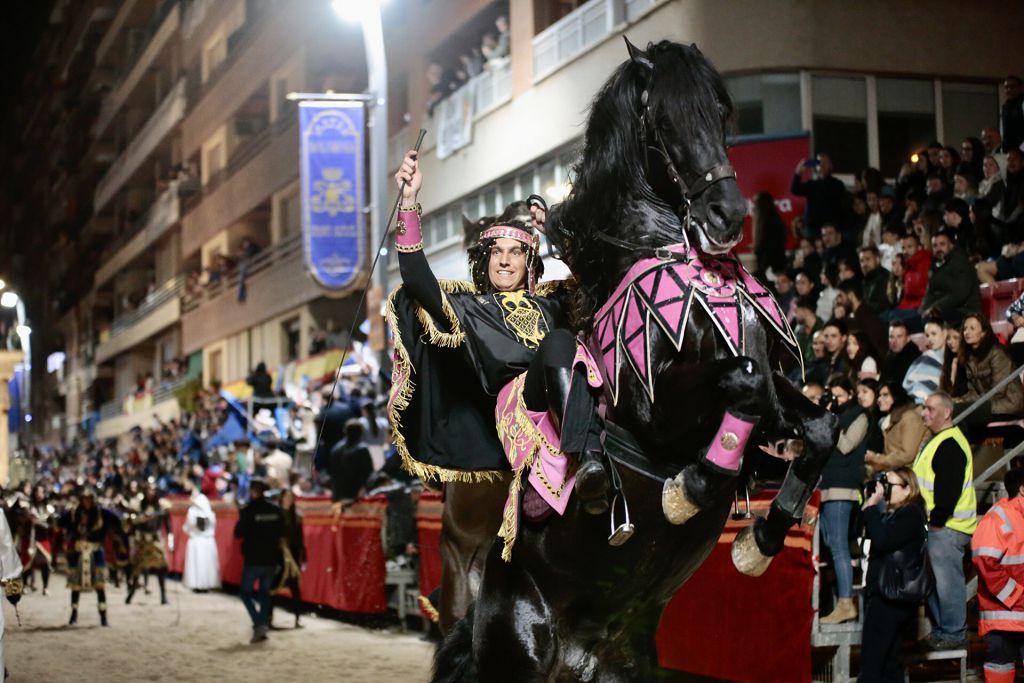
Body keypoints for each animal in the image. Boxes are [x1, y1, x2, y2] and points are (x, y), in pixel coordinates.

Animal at [432, 40, 839, 679]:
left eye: (721, 113)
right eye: (664, 122)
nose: (728, 215)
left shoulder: (776, 390)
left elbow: (819, 424)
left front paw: (762, 539)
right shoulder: (659, 408)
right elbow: (742, 381)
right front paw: (692, 487)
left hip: (627, 662)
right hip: (514, 650)